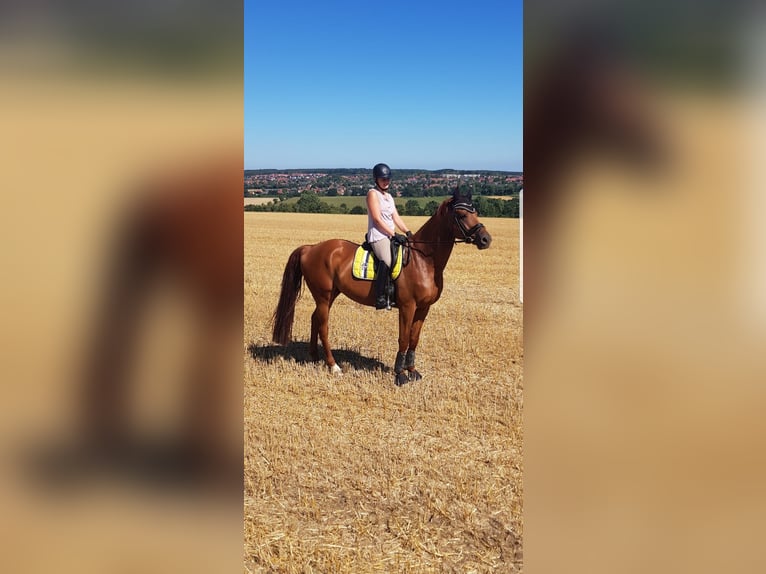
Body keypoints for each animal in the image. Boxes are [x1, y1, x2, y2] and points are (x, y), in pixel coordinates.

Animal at [272, 189, 496, 388]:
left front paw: (413, 371)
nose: (486, 239)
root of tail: (310, 248)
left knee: (315, 319)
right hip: (324, 296)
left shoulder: (423, 308)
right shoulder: (407, 307)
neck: (424, 260)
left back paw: (315, 357)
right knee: (323, 326)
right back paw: (333, 366)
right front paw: (400, 375)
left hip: (330, 295)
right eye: (462, 215)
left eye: (476, 212)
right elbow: (403, 339)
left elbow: (414, 339)